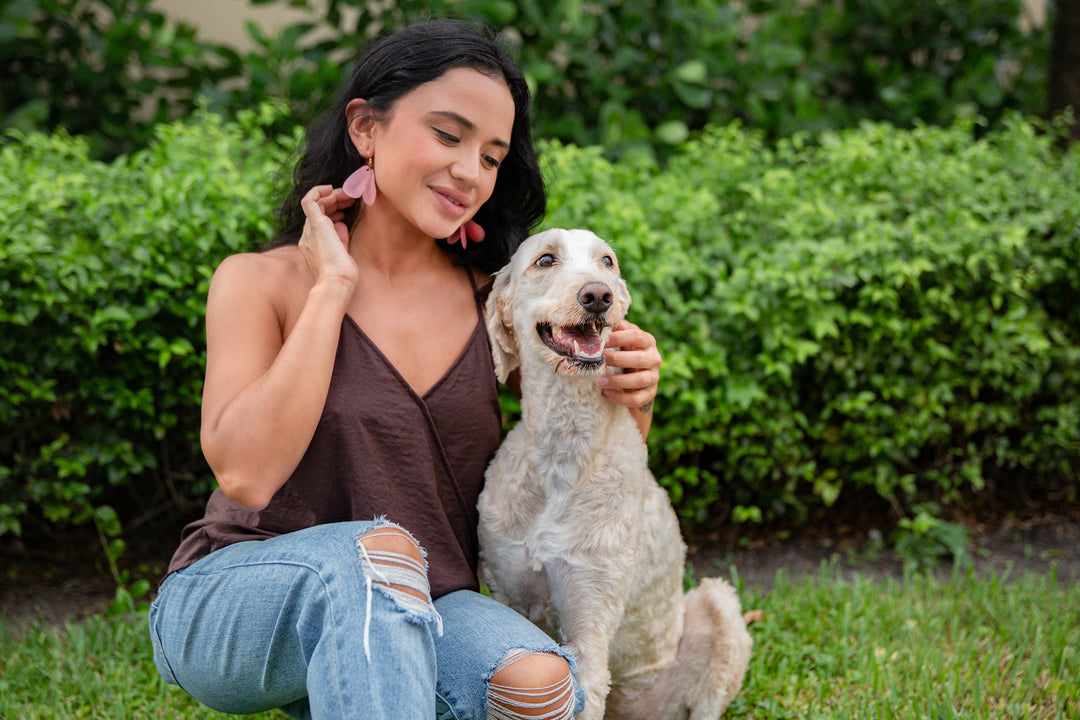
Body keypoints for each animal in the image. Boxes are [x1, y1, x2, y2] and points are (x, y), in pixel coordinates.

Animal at [481, 227, 751, 716]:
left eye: (607, 261)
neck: (563, 449)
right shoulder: (507, 597)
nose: (598, 295)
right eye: (545, 259)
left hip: (718, 605)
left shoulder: (590, 620)